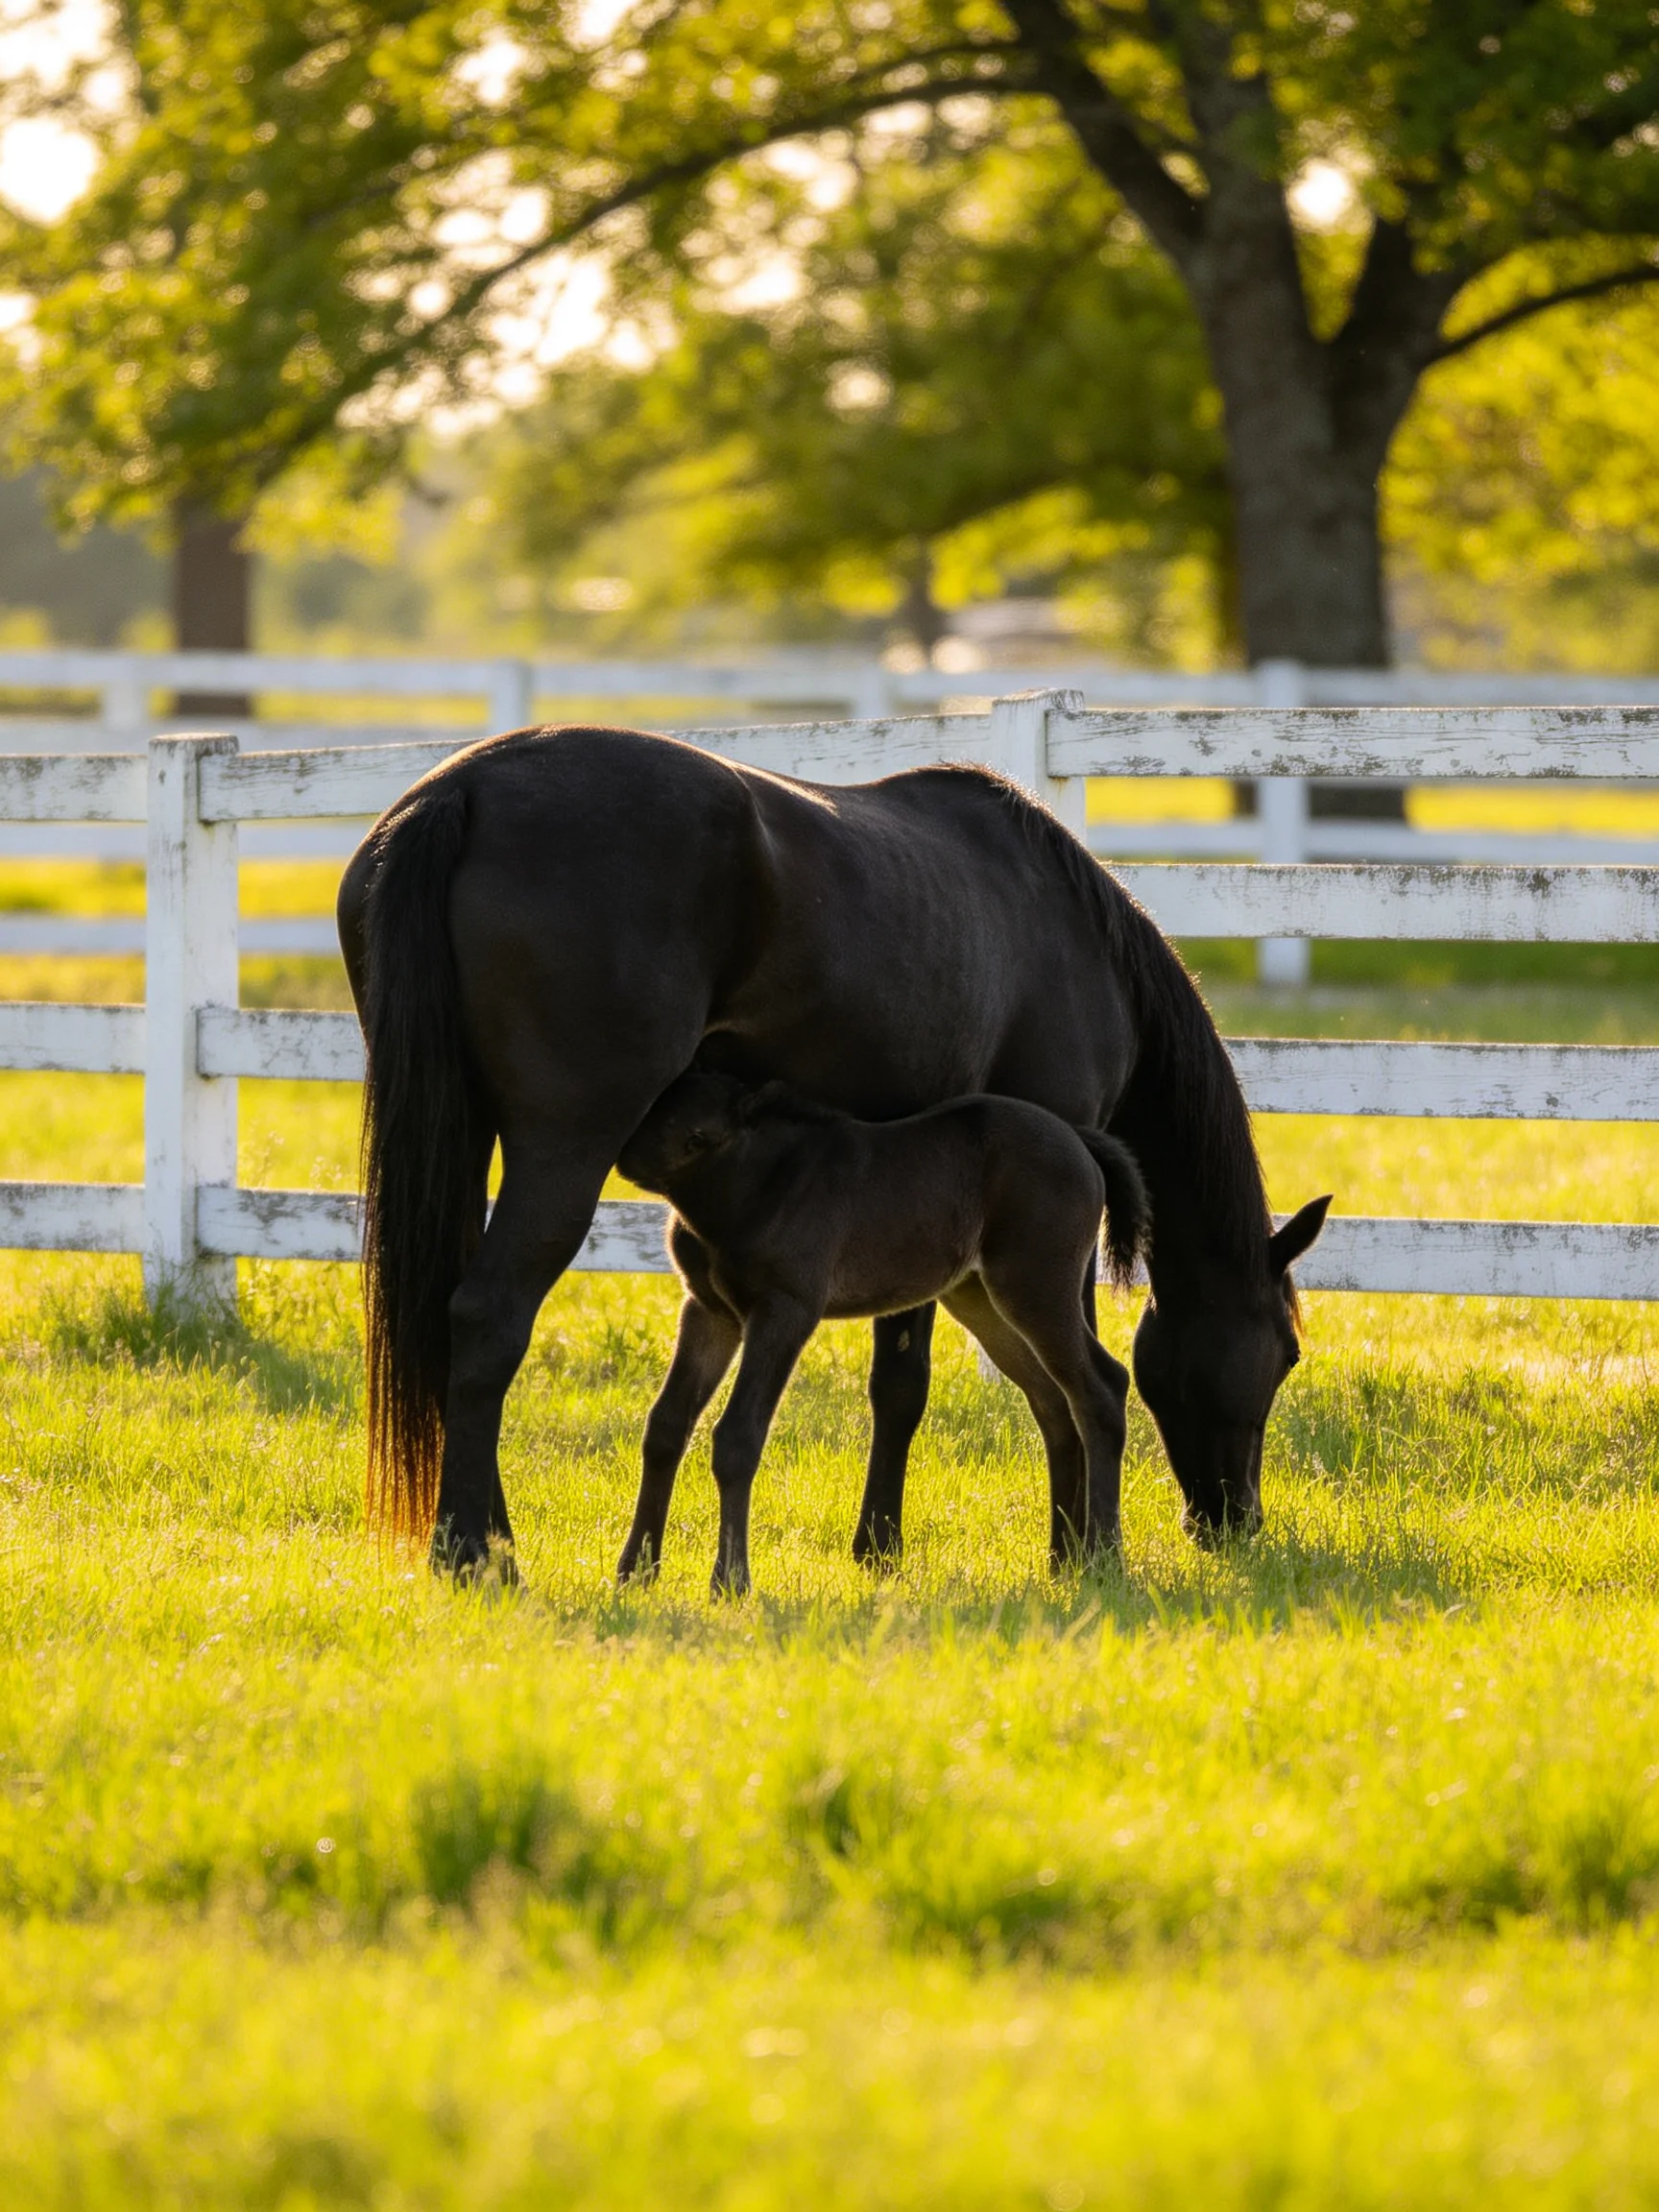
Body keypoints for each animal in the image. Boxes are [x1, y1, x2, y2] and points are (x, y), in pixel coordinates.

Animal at [613, 1070, 1152, 1593]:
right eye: (657, 1108)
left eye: (699, 1138)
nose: (626, 1159)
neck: (760, 1186)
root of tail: (1080, 1140)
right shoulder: (710, 1311)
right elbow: (666, 1425)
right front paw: (635, 1571)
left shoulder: (784, 1310)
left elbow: (738, 1437)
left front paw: (730, 1582)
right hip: (981, 1297)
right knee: (1053, 1400)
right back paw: (1062, 1558)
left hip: (1036, 1286)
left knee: (1101, 1386)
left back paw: (1104, 1557)